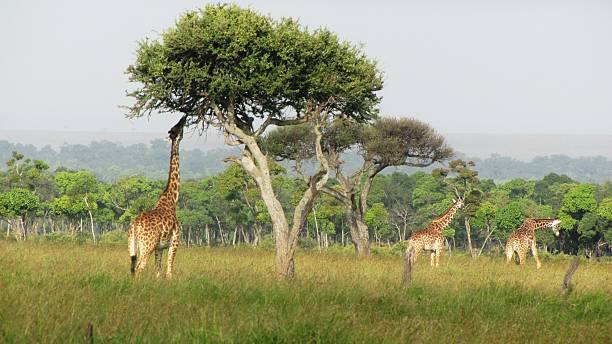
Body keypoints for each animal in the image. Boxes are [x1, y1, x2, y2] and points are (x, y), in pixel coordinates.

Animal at [128, 115, 188, 276]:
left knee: (132, 268)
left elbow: (158, 271)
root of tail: (136, 225)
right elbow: (169, 271)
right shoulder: (174, 242)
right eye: (178, 127)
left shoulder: (159, 248)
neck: (172, 199)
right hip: (147, 245)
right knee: (140, 268)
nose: (184, 117)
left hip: (132, 246)